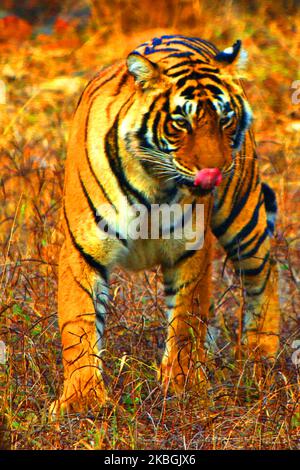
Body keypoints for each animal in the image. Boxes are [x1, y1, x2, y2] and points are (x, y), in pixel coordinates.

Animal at [48, 34, 280, 414]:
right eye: (181, 123)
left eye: (225, 120)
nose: (215, 172)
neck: (152, 180)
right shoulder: (83, 249)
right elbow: (78, 323)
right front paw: (83, 400)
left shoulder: (190, 250)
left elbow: (186, 321)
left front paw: (183, 385)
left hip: (242, 215)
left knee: (265, 275)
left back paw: (260, 358)